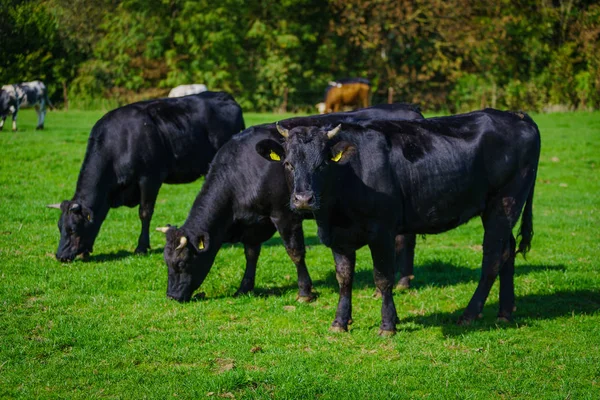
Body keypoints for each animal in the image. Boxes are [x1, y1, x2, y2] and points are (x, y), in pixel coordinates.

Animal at [47, 90, 244, 262]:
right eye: (59, 227)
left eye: (73, 229)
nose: (60, 256)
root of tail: (225, 96)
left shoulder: (149, 178)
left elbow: (145, 212)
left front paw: (141, 247)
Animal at [157, 103, 424, 304]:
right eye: (166, 262)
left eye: (182, 263)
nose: (171, 296)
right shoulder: (255, 222)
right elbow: (251, 253)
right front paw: (244, 287)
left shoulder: (284, 214)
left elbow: (295, 252)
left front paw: (305, 291)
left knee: (406, 238)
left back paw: (403, 281)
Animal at [255, 108, 540, 334]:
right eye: (289, 164)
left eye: (323, 164)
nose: (303, 199)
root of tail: (517, 115)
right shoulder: (338, 236)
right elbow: (344, 278)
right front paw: (340, 322)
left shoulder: (382, 232)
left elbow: (383, 278)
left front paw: (388, 325)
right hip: (502, 210)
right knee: (507, 251)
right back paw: (505, 311)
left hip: (504, 203)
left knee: (492, 258)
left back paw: (470, 314)